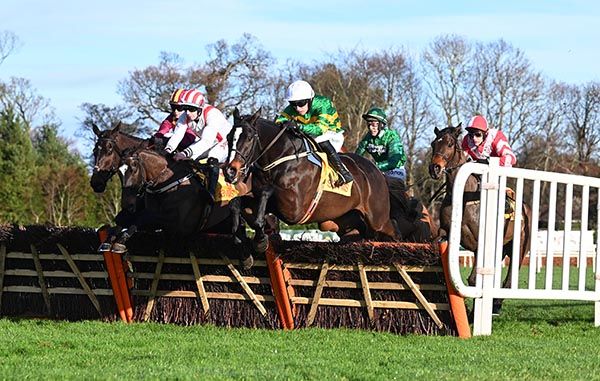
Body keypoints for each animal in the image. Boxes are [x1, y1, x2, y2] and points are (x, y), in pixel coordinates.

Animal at [428, 123, 532, 314]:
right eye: (433, 144)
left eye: (449, 144)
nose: (435, 168)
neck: (464, 197)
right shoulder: (444, 232)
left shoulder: (479, 246)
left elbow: (474, 280)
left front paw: (473, 313)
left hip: (519, 247)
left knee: (509, 279)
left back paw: (496, 305)